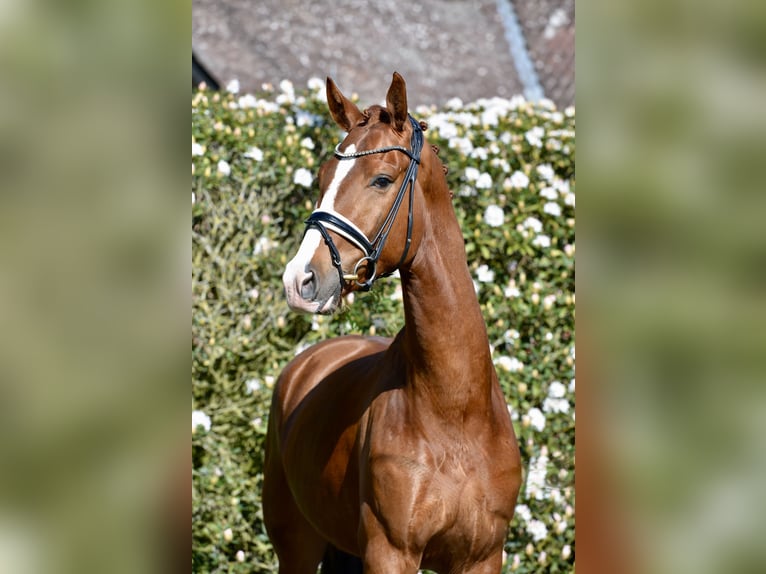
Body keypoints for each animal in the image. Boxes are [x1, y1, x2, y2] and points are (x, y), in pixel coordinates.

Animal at [263, 72, 522, 574]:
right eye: (322, 178)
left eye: (382, 179)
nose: (299, 280)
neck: (455, 409)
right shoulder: (390, 551)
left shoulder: (482, 557)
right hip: (298, 546)